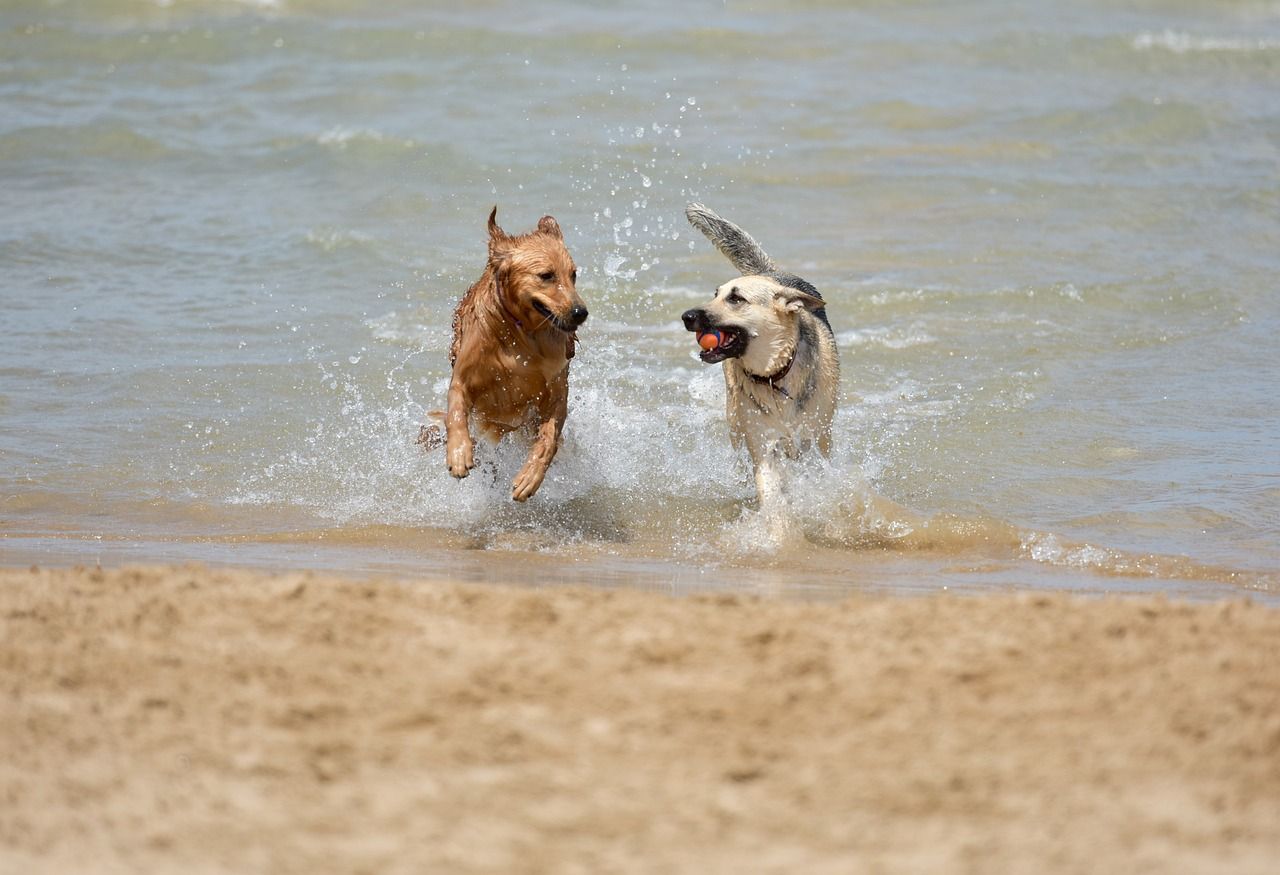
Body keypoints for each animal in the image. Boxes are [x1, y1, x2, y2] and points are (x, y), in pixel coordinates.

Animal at [422, 205, 591, 501]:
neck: (521, 334)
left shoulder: (556, 391)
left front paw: (530, 477)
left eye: (573, 275)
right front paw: (458, 453)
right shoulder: (463, 378)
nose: (581, 312)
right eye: (546, 275)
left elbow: (548, 438)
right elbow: (455, 411)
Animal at [680, 203, 839, 506]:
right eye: (715, 295)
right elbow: (771, 492)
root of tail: (769, 274)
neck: (775, 374)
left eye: (735, 298)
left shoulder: (814, 440)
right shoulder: (763, 445)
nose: (687, 316)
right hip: (734, 419)